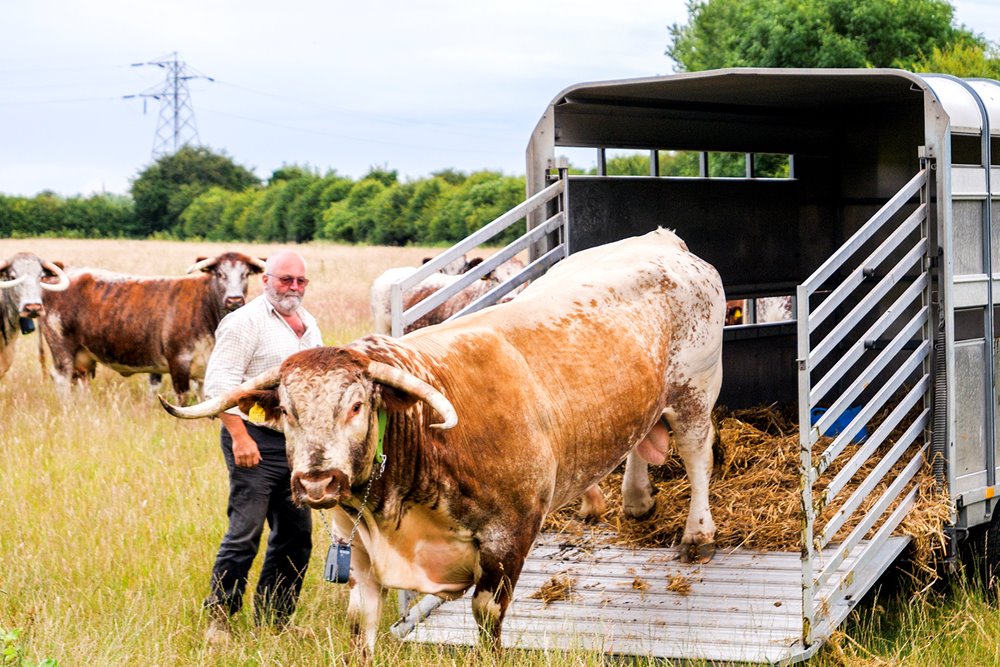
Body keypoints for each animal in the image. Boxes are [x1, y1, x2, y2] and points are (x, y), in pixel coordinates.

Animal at [41, 253, 264, 400]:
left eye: (246, 274)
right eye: (219, 274)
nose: (234, 299)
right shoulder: (179, 361)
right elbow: (183, 398)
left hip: (83, 355)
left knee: (80, 380)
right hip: (61, 345)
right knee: (61, 378)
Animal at [166, 230, 728, 656]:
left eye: (357, 405)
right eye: (287, 410)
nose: (317, 481)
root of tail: (662, 240)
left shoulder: (509, 536)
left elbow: (486, 616)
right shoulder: (361, 553)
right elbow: (360, 625)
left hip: (696, 387)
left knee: (697, 452)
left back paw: (697, 533)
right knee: (640, 440)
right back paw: (635, 500)